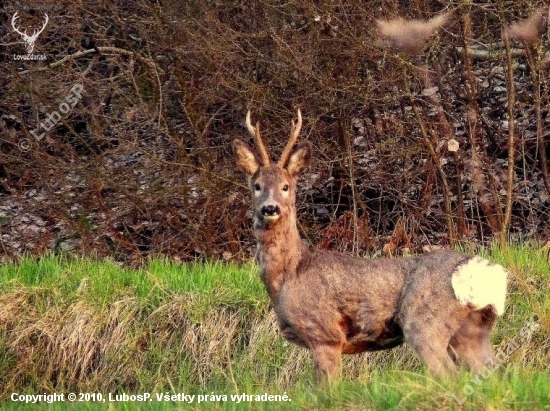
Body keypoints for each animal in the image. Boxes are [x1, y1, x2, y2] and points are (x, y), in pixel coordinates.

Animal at [232, 110, 508, 384]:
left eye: (285, 187)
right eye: (257, 186)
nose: (270, 208)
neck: (289, 275)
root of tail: (483, 271)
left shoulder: (325, 334)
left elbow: (327, 388)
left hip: (424, 321)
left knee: (449, 374)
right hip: (473, 330)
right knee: (493, 373)